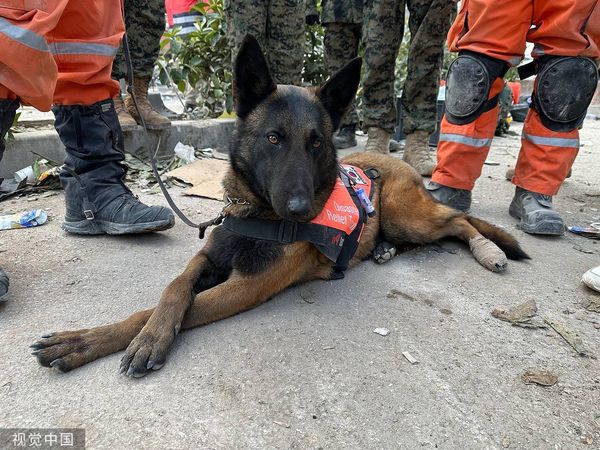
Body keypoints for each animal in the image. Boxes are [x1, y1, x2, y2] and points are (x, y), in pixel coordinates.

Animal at [30, 37, 528, 378]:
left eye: (317, 143)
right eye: (274, 138)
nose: (301, 209)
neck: (256, 215)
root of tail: (394, 160)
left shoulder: (246, 286)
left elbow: (171, 307)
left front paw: (135, 338)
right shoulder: (208, 257)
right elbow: (172, 291)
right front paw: (106, 337)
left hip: (410, 217)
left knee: (458, 221)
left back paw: (488, 250)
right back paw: (384, 249)